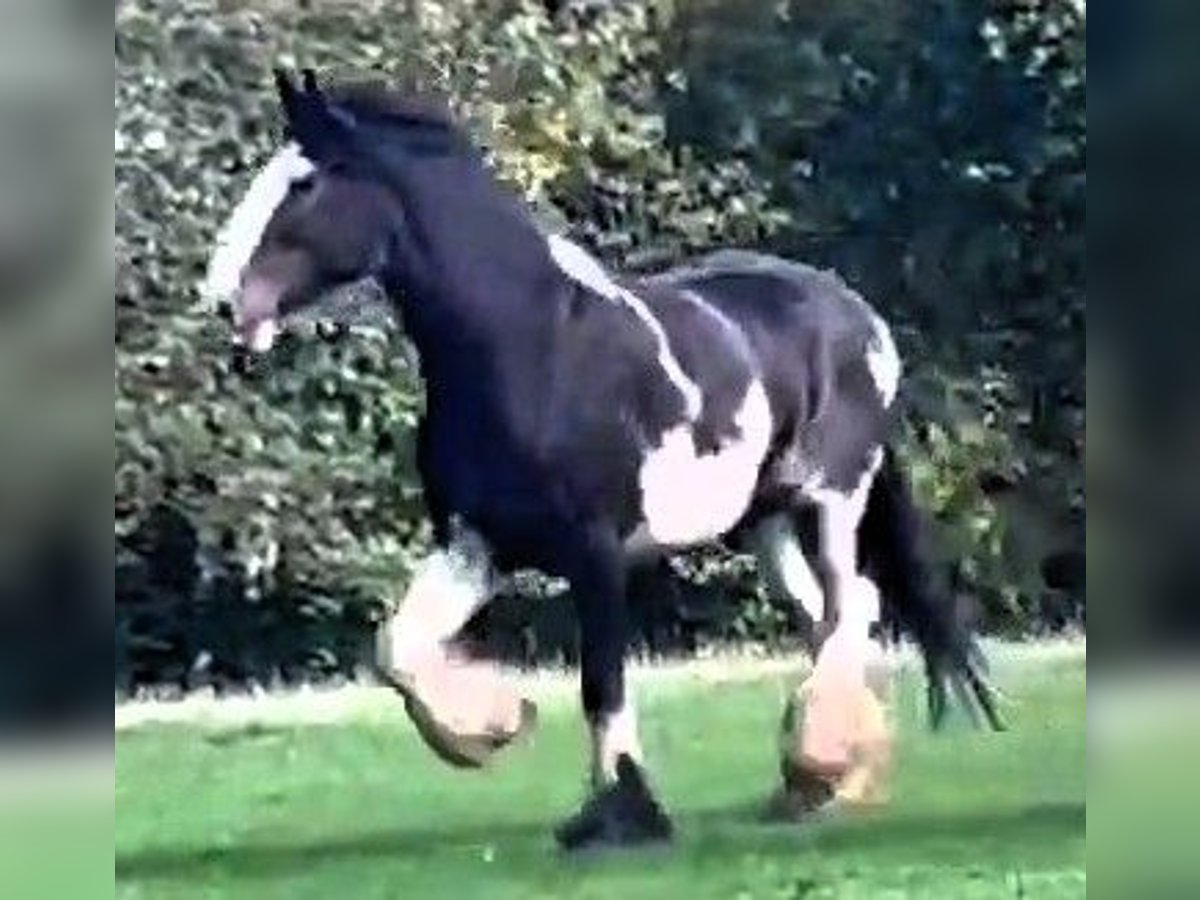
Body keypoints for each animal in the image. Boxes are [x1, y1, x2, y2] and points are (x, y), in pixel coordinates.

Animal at [202, 69, 1003, 851]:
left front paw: (623, 814)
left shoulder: (594, 552)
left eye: (305, 183)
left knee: (852, 605)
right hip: (763, 521)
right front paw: (495, 727)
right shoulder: (481, 541)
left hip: (833, 497)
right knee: (824, 618)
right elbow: (396, 646)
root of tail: (856, 311)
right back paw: (827, 783)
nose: (220, 299)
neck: (533, 346)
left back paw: (822, 764)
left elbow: (602, 686)